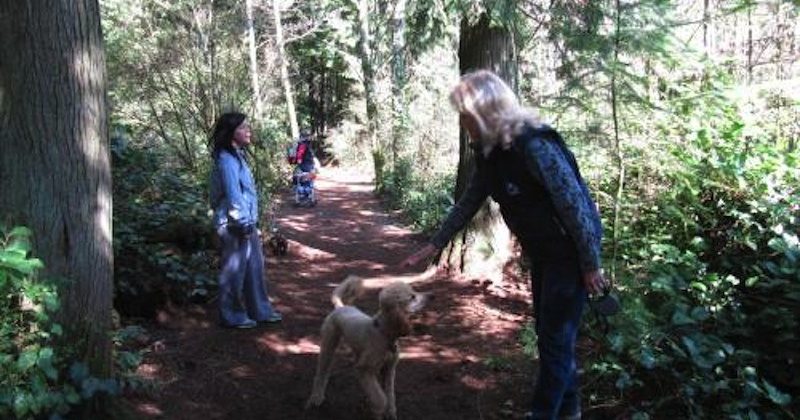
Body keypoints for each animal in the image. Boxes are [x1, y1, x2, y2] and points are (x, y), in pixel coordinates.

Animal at [308, 276, 432, 420]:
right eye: (412, 297)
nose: (432, 296)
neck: (383, 333)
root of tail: (341, 307)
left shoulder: (389, 368)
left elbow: (389, 393)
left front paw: (390, 412)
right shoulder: (365, 369)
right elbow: (380, 398)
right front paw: (379, 410)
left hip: (357, 349)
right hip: (329, 342)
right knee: (322, 371)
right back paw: (317, 397)